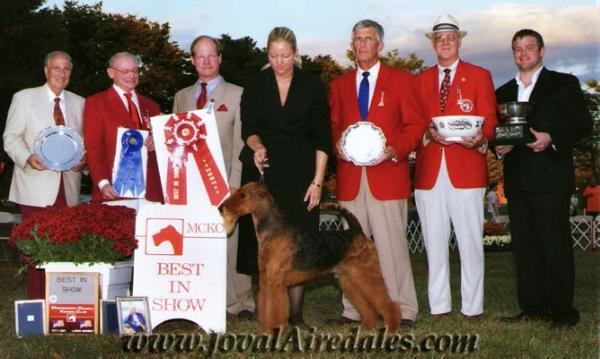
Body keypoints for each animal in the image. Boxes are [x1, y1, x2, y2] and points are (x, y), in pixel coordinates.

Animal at [218, 183, 400, 334]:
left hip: (366, 273)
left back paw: (391, 328)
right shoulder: (266, 280)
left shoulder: (275, 282)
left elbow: (274, 309)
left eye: (243, 195)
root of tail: (357, 231)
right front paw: (265, 330)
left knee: (387, 303)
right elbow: (265, 306)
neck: (273, 231)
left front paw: (274, 331)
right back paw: (368, 326)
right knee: (367, 306)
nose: (221, 208)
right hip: (350, 278)